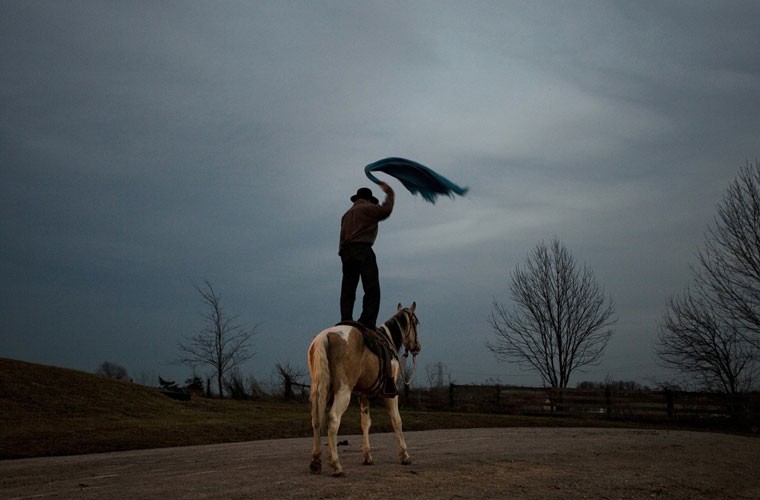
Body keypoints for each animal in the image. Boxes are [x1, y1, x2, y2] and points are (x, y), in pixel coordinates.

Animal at [308, 300, 422, 476]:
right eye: (415, 323)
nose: (417, 347)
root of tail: (324, 337)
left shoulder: (364, 395)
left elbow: (365, 423)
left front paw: (367, 456)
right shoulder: (391, 395)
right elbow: (397, 421)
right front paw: (405, 455)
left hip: (319, 391)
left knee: (316, 420)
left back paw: (315, 461)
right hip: (343, 391)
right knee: (333, 419)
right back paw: (336, 465)